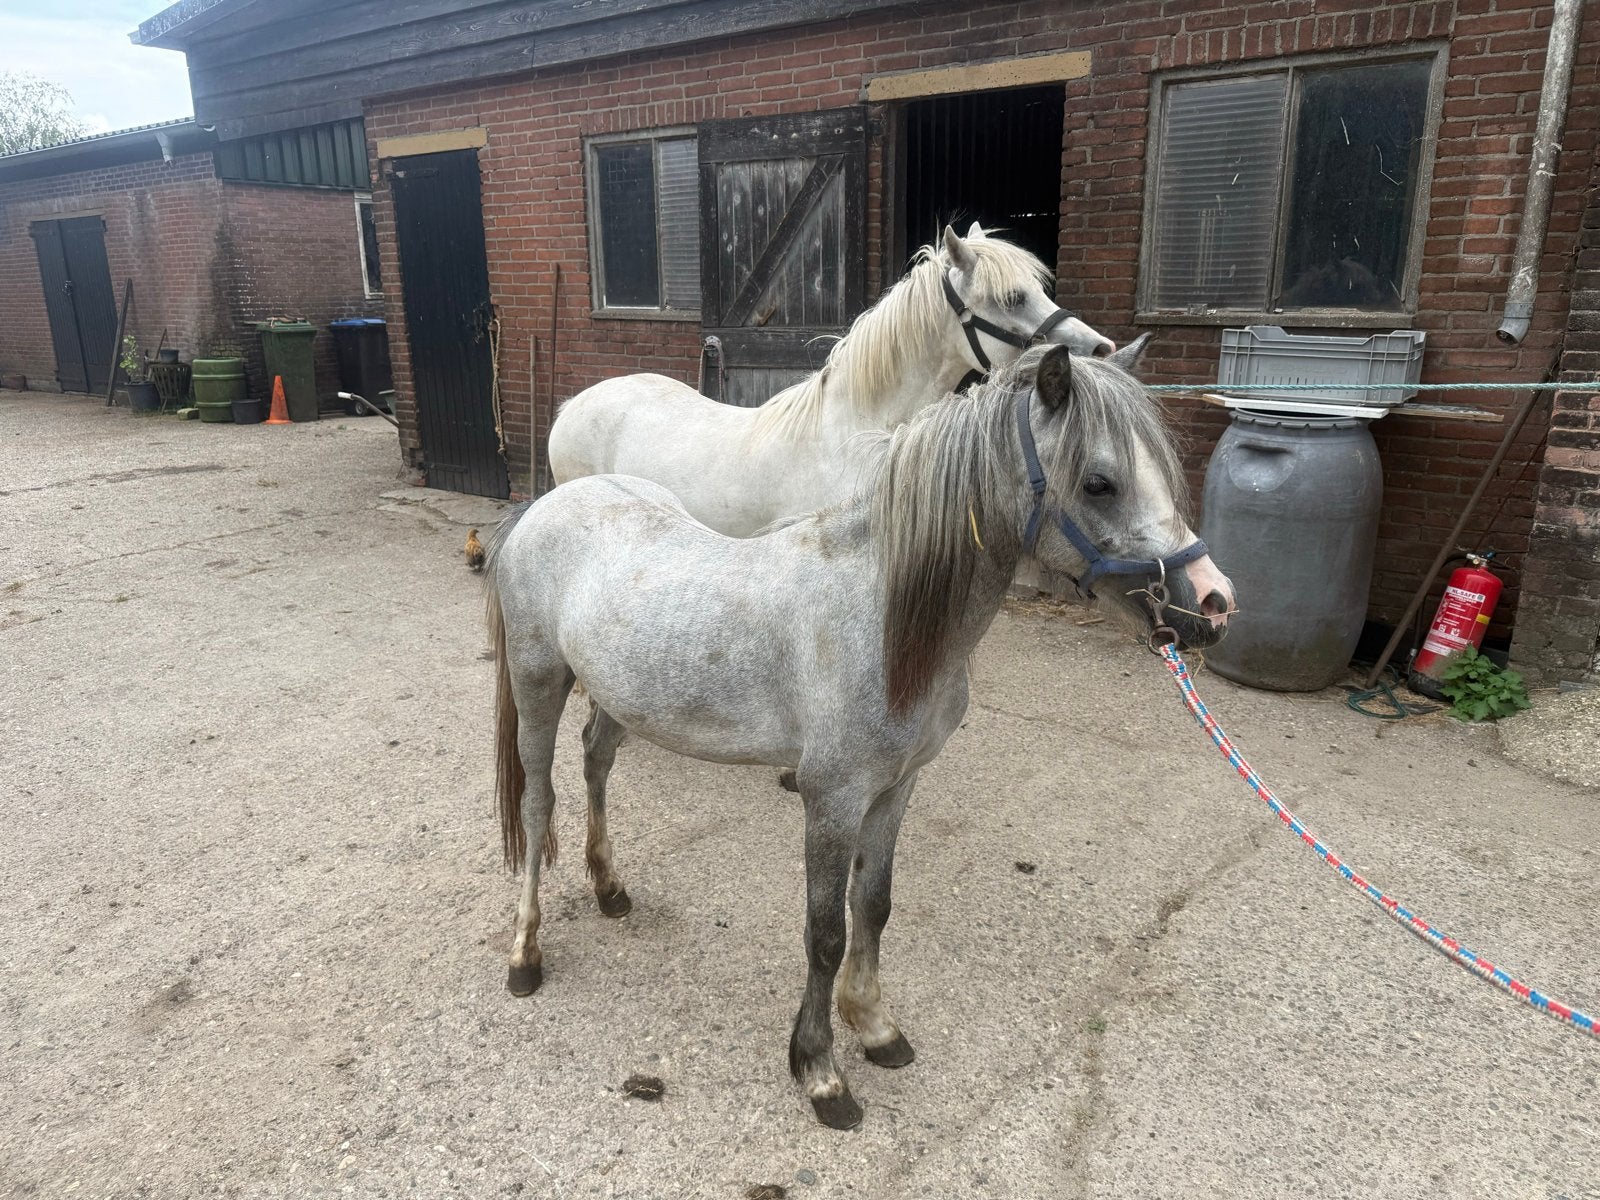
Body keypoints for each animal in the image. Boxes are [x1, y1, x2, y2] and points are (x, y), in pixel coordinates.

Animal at [484, 345, 1235, 1129]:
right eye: (1100, 482)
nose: (1213, 605)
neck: (881, 616)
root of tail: (543, 506)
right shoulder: (832, 799)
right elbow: (826, 931)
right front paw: (820, 1073)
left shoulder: (896, 787)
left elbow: (874, 905)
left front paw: (874, 1027)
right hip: (539, 685)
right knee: (538, 806)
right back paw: (525, 955)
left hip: (618, 698)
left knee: (596, 761)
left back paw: (609, 888)